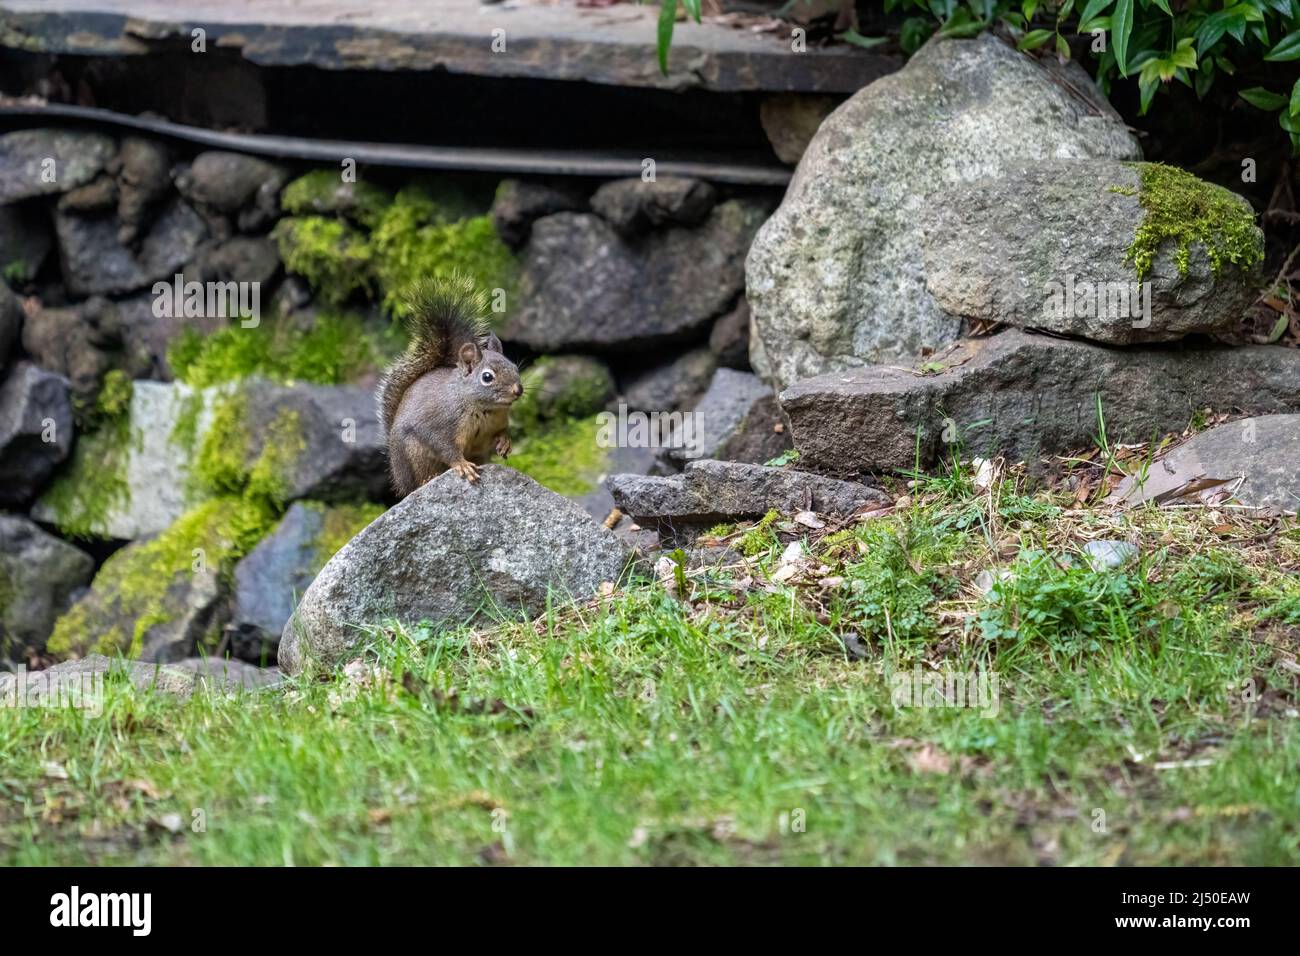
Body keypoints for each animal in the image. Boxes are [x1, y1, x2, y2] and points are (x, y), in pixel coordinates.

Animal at [377, 274, 522, 496]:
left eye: (515, 367)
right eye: (487, 377)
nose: (518, 390)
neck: (483, 409)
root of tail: (400, 481)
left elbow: (499, 435)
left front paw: (505, 442)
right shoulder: (438, 424)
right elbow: (445, 447)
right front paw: (462, 465)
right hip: (414, 455)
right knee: (421, 479)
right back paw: (428, 479)